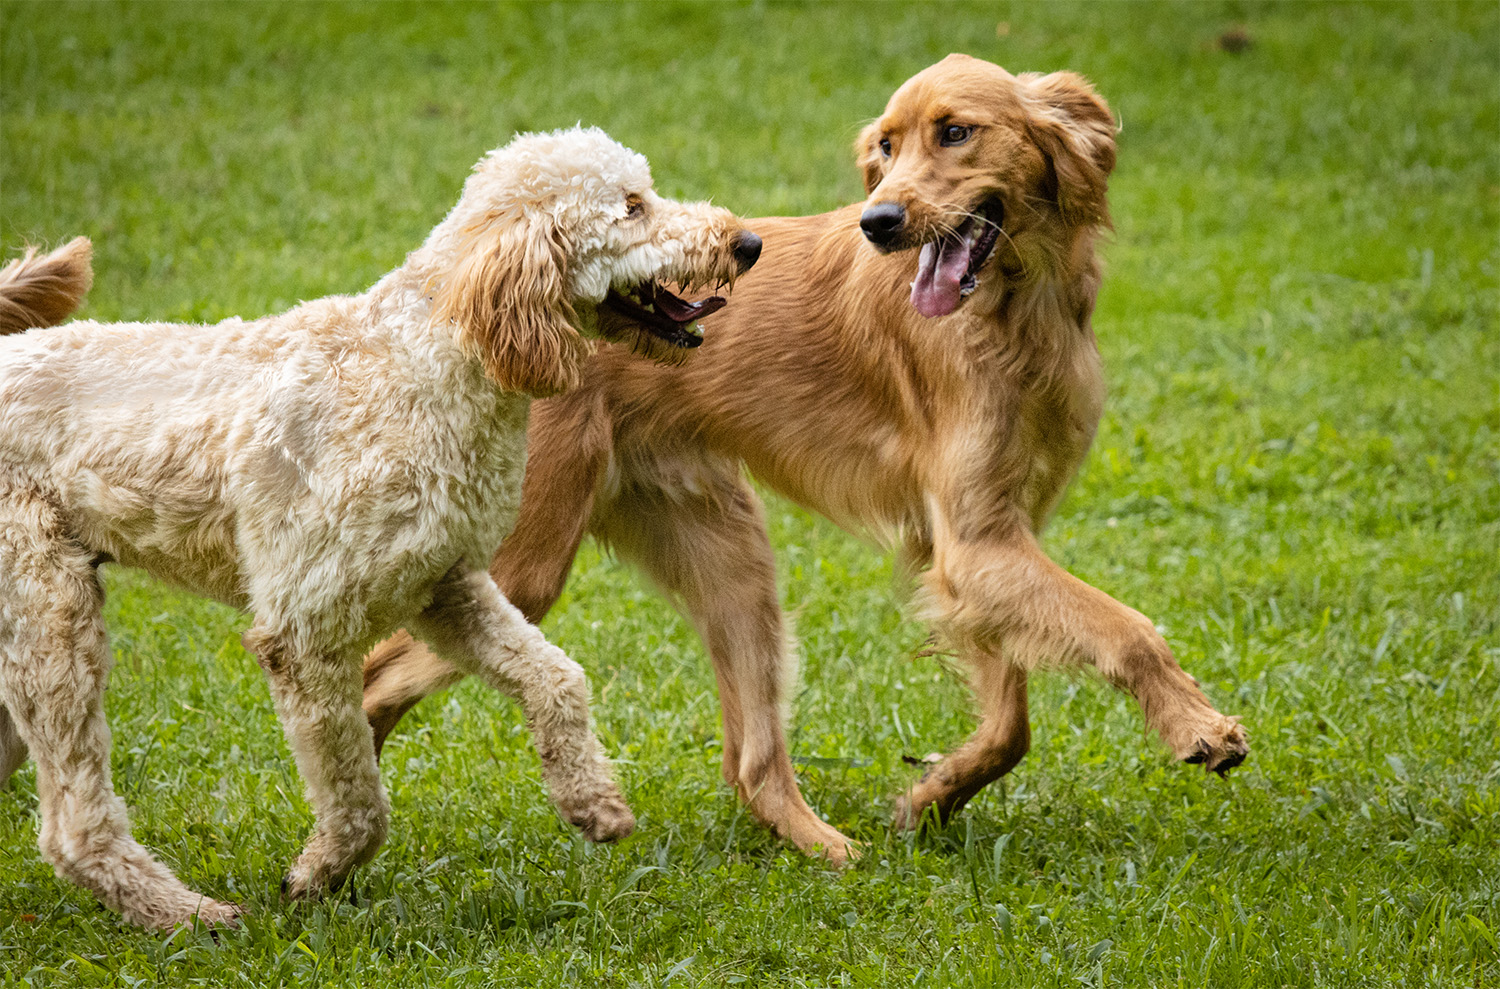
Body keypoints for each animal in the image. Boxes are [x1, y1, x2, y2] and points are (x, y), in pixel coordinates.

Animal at [0, 127, 756, 930]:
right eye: (633, 206)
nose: (748, 242)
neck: (429, 357)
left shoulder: (446, 584)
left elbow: (557, 677)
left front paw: (592, 801)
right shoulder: (305, 634)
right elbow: (360, 797)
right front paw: (317, 875)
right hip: (50, 615)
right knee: (72, 825)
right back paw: (189, 916)